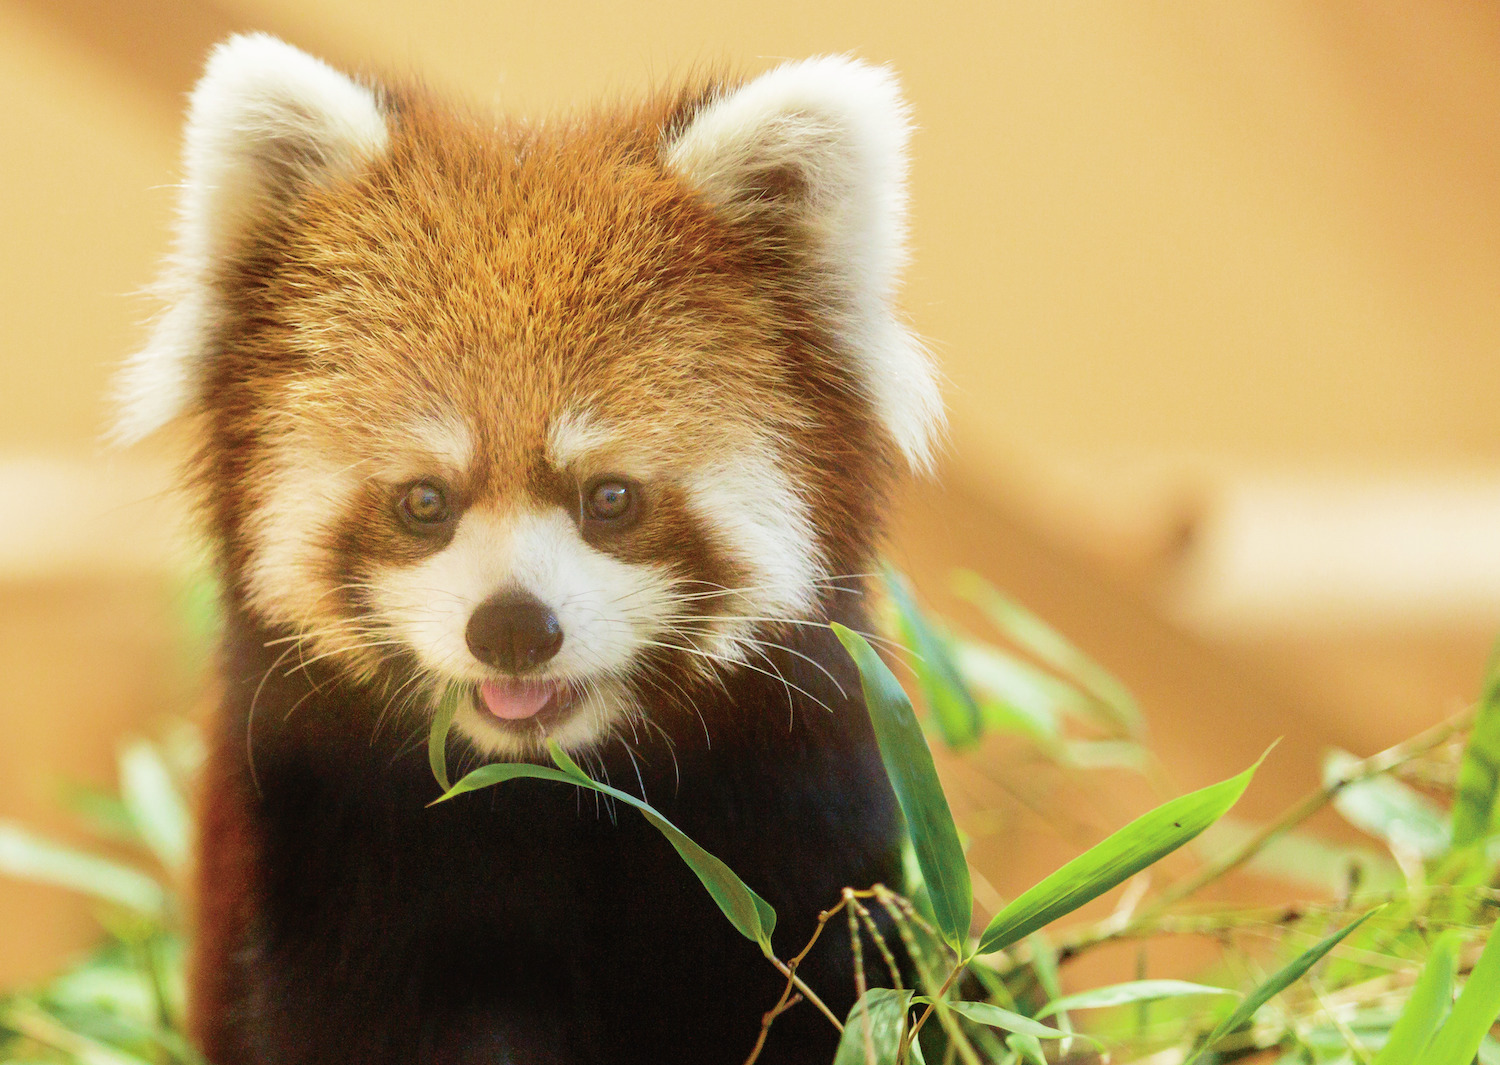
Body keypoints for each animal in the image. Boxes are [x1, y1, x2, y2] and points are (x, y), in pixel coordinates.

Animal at [117, 33, 942, 1065]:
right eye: (424, 500)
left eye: (611, 498)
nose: (513, 627)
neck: (549, 790)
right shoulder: (326, 857)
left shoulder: (801, 826)